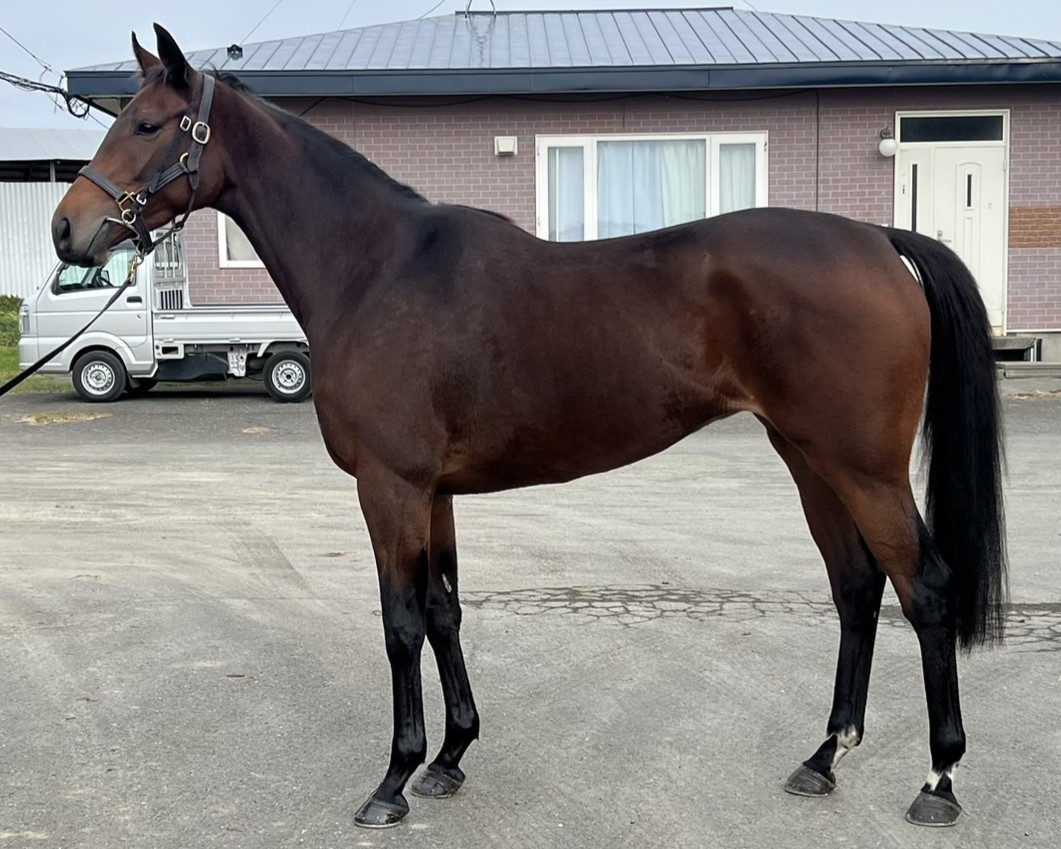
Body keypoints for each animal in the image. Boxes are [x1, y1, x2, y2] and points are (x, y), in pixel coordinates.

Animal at [52, 25, 1006, 830]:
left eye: (146, 123)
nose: (67, 229)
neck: (376, 268)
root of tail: (876, 238)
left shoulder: (389, 488)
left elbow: (399, 623)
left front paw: (393, 780)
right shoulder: (431, 492)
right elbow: (444, 609)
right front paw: (450, 756)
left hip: (863, 467)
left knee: (923, 589)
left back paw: (939, 779)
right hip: (809, 459)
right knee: (855, 587)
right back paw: (822, 756)